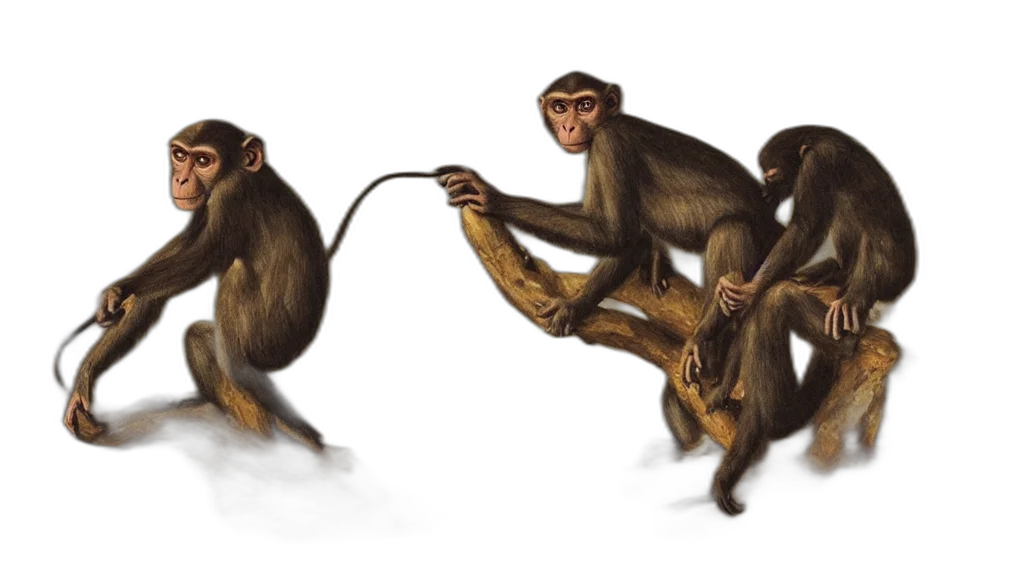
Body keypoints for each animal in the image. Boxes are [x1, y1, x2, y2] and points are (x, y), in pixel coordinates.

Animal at [57, 118, 444, 454]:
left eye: (203, 160)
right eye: (180, 155)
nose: (181, 179)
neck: (240, 173)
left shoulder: (232, 196)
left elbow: (197, 260)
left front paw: (121, 291)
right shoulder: (205, 206)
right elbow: (162, 284)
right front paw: (85, 378)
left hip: (276, 342)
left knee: (235, 282)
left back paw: (279, 406)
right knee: (197, 336)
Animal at [433, 71, 785, 464]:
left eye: (586, 105)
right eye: (560, 107)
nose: (570, 125)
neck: (608, 121)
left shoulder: (610, 146)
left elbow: (614, 232)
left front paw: (492, 196)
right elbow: (617, 234)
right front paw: (615, 281)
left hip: (761, 250)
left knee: (731, 230)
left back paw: (709, 340)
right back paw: (698, 443)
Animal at [696, 124, 918, 517]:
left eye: (771, 174)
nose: (766, 187)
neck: (816, 139)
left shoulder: (820, 165)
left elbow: (803, 231)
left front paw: (750, 292)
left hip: (854, 322)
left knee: (782, 302)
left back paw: (756, 431)